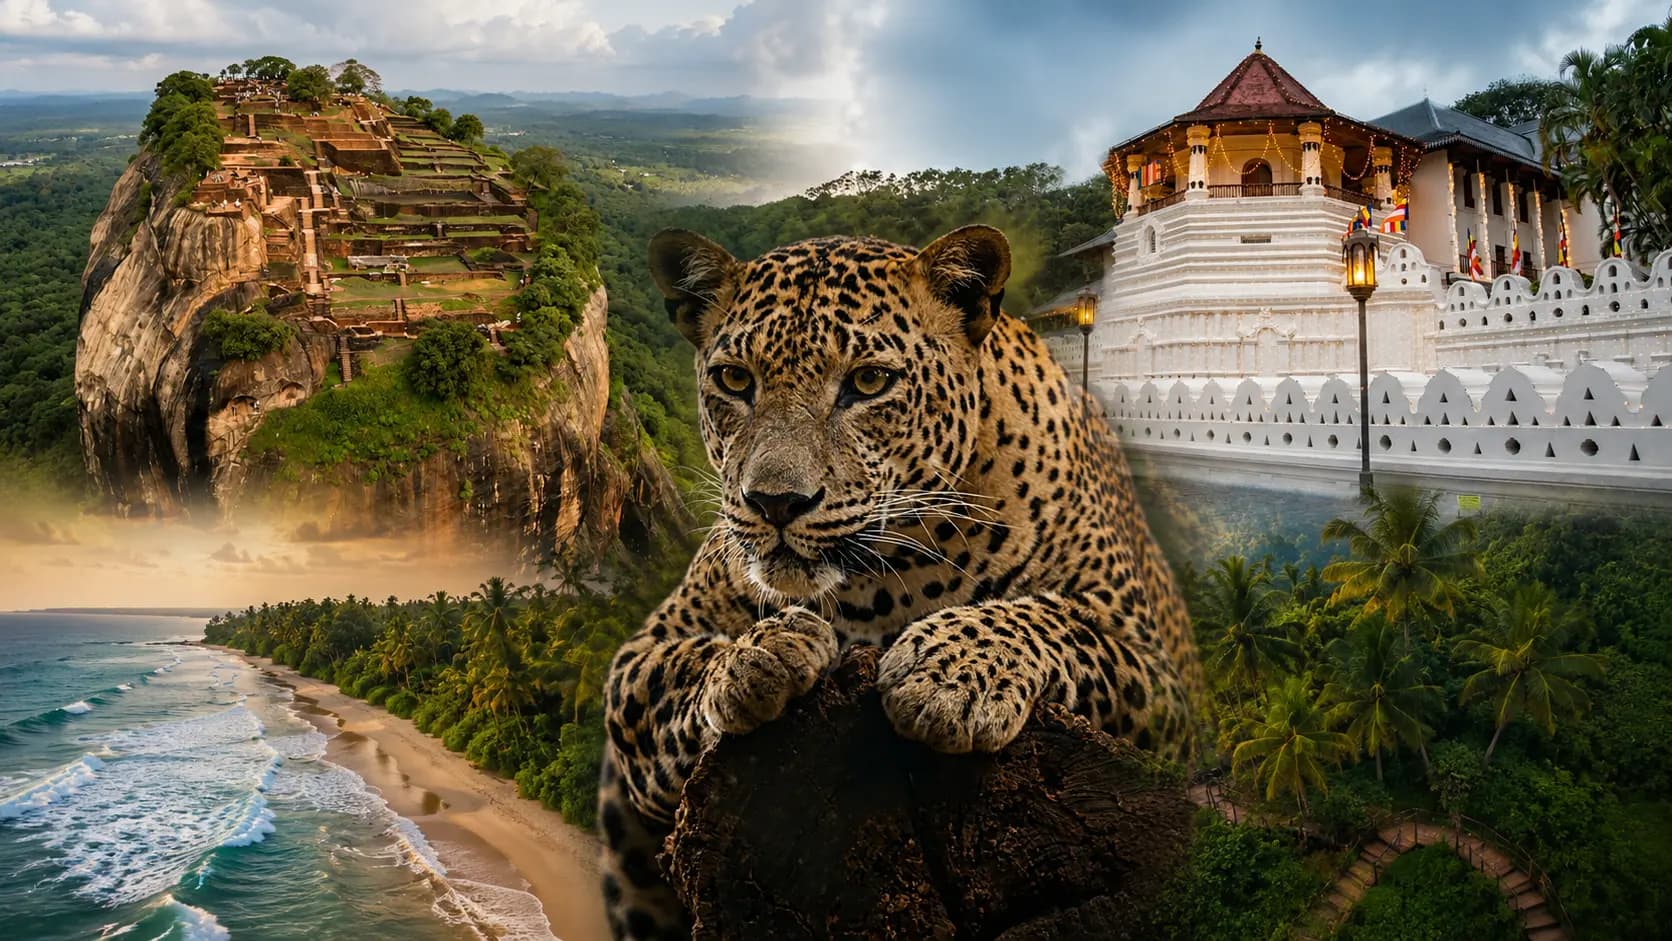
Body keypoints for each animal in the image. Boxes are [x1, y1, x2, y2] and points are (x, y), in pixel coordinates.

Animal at [597, 224, 1203, 939]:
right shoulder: (642, 655)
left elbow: (1050, 618)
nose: (775, 503)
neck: (882, 582)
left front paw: (950, 676)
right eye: (735, 379)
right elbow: (679, 666)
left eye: (868, 382)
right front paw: (759, 655)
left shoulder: (1158, 679)